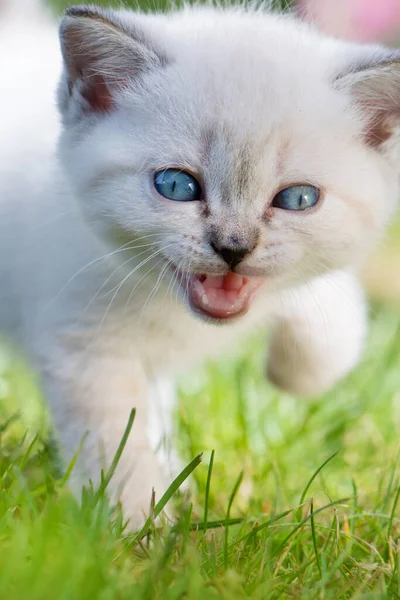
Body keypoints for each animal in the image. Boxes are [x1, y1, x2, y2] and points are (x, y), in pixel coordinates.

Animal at [0, 1, 400, 524]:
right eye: (176, 186)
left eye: (297, 199)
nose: (233, 247)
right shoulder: (85, 348)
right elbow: (117, 446)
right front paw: (135, 529)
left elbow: (329, 307)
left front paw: (298, 371)